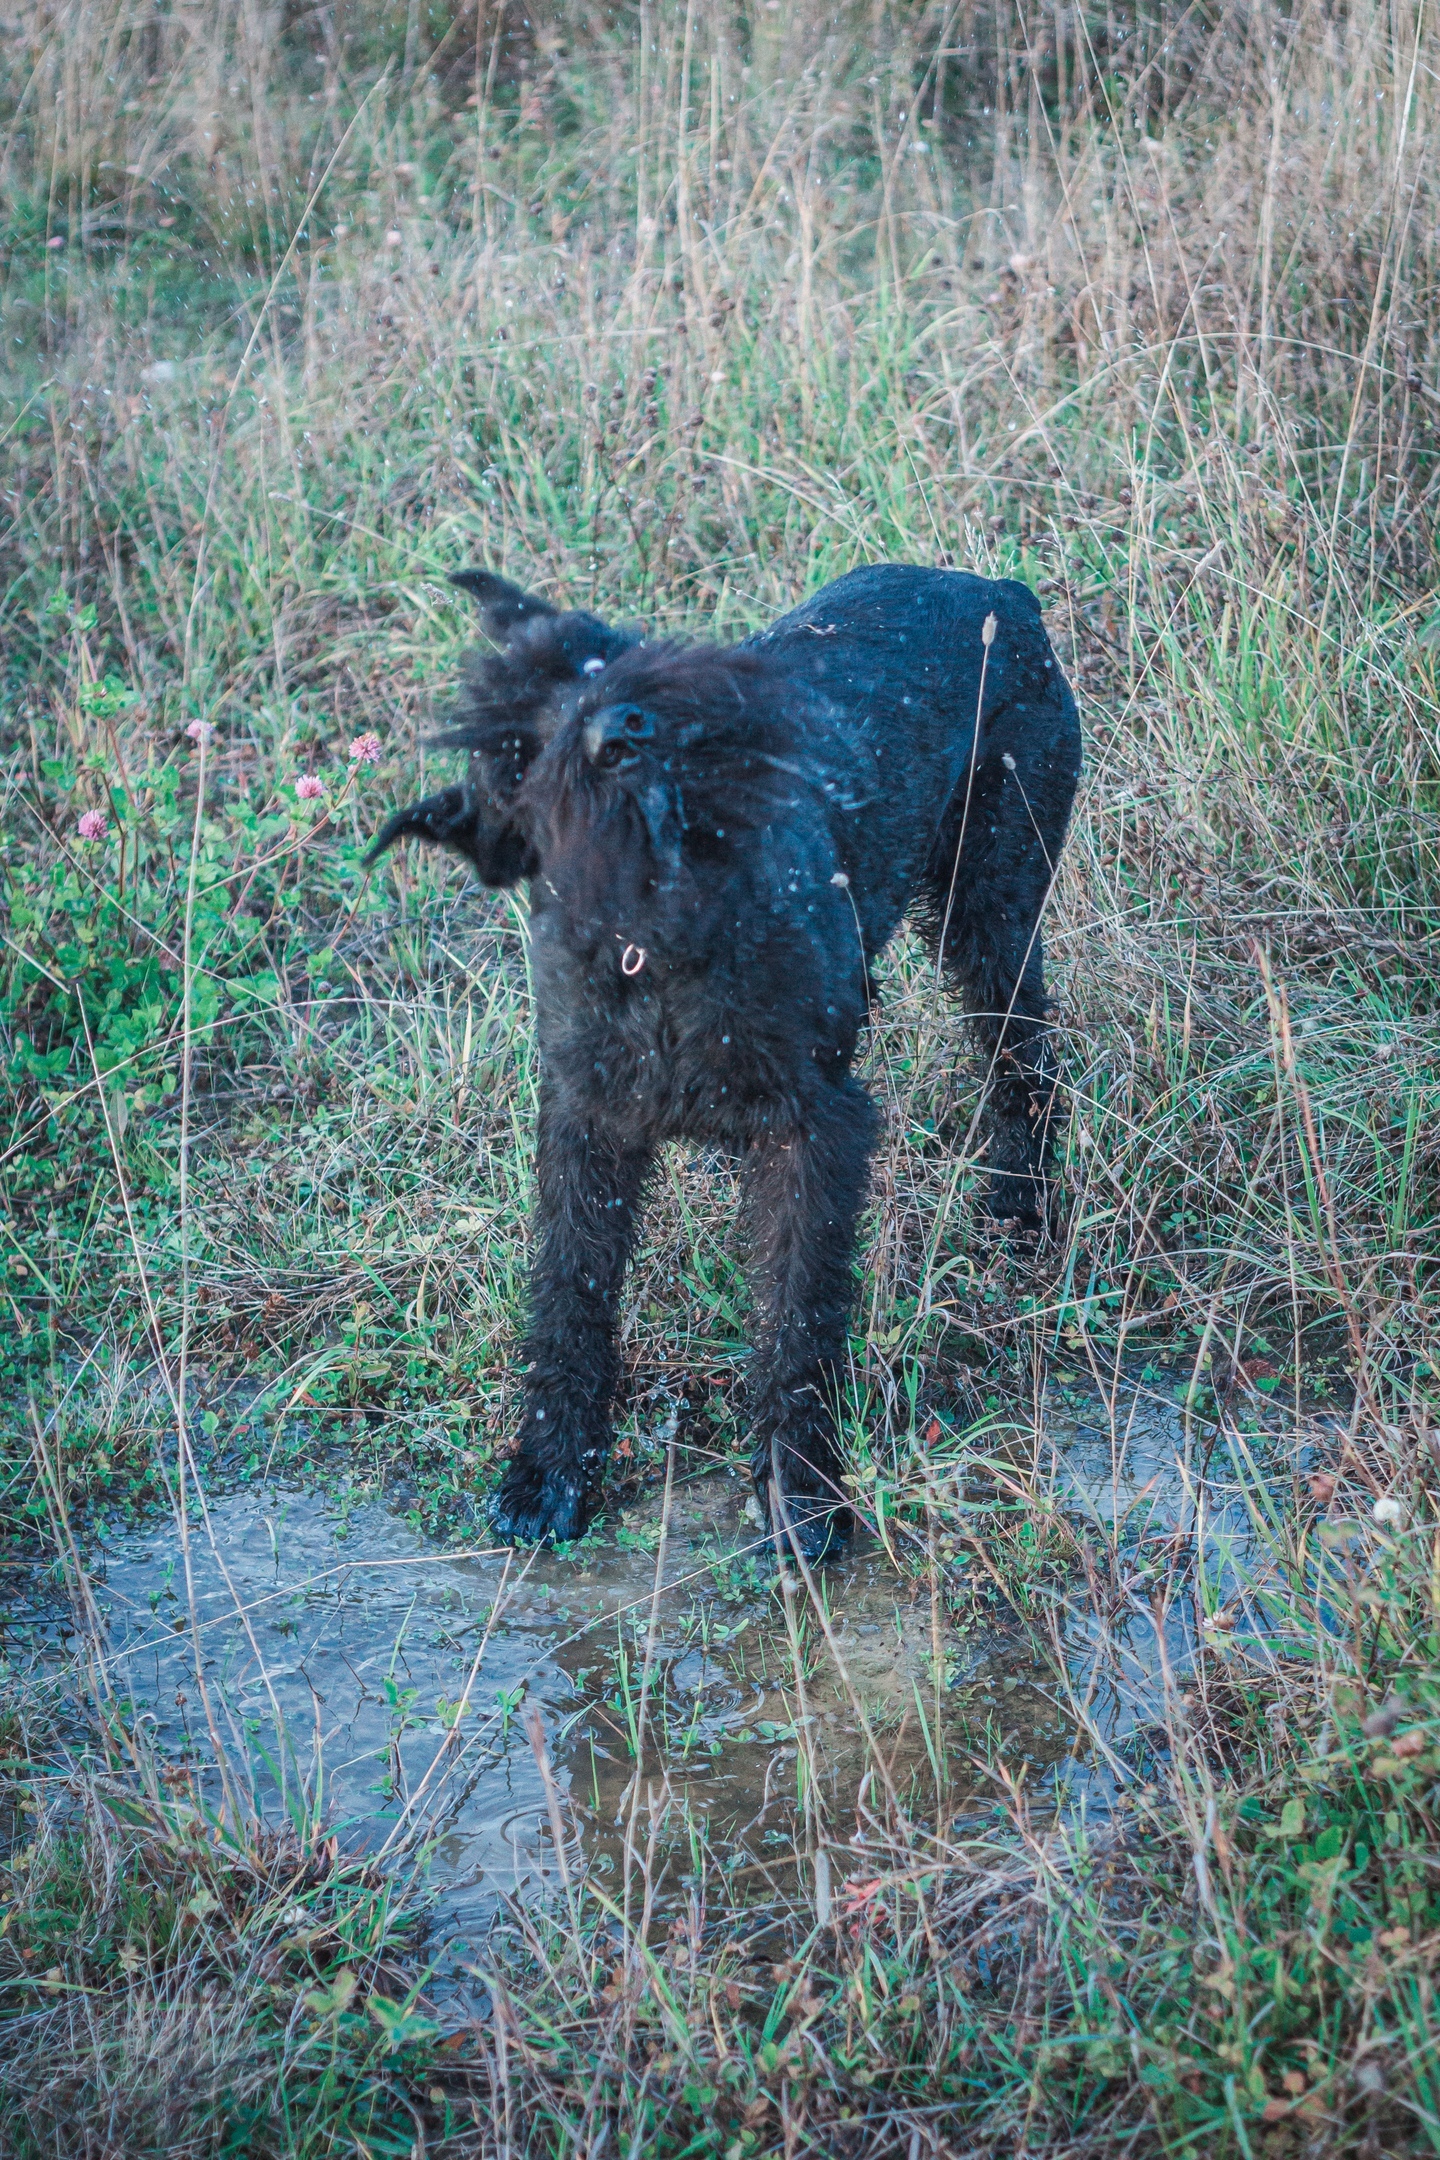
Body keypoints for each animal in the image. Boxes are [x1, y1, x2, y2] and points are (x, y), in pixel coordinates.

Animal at [375, 565, 1079, 1563]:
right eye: (519, 739)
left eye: (602, 655)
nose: (625, 730)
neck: (662, 939)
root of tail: (1002, 592)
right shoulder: (585, 1123)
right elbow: (570, 1292)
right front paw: (547, 1475)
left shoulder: (813, 1130)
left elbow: (796, 1317)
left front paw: (804, 1498)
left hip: (993, 908)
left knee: (1023, 1059)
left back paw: (1021, 1209)